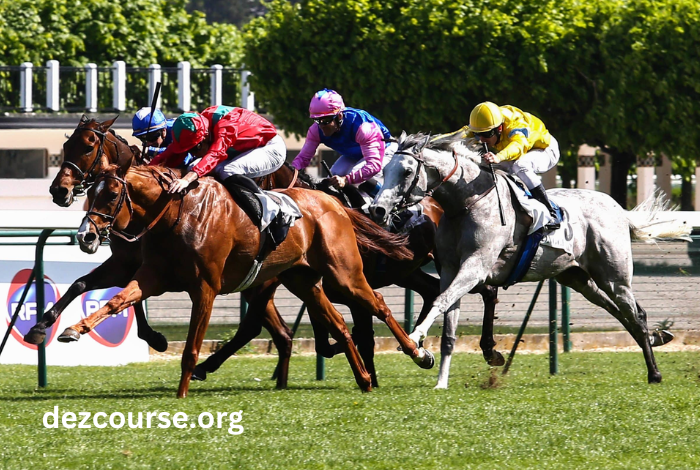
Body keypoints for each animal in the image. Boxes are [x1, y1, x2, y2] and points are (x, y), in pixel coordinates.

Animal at [25, 116, 167, 352]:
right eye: (66, 146)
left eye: (88, 147)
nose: (58, 190)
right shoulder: (123, 262)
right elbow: (81, 284)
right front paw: (40, 326)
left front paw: (152, 336)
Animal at [61, 164, 432, 396]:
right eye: (88, 194)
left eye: (110, 195)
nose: (86, 236)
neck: (177, 213)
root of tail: (334, 202)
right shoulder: (151, 277)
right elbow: (116, 300)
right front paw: (72, 330)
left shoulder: (205, 289)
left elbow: (191, 348)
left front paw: (182, 394)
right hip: (304, 280)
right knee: (340, 324)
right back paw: (365, 379)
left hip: (344, 275)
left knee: (379, 305)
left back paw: (418, 353)